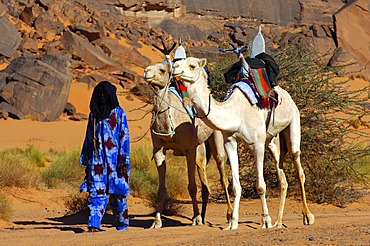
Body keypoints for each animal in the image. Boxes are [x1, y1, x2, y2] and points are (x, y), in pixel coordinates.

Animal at [143, 58, 233, 229]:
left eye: (162, 70)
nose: (146, 71)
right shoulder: (158, 150)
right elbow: (161, 189)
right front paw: (156, 222)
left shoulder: (189, 149)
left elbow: (192, 187)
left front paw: (196, 219)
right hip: (200, 148)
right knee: (204, 181)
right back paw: (203, 217)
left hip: (216, 138)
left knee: (222, 174)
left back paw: (228, 215)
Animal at [173, 56, 316, 230]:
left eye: (192, 66)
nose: (175, 67)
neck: (236, 113)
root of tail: (286, 94)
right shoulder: (230, 141)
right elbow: (235, 186)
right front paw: (232, 223)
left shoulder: (258, 144)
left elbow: (261, 186)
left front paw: (265, 220)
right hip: (272, 141)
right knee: (282, 177)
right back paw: (278, 222)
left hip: (293, 121)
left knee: (298, 167)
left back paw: (307, 216)